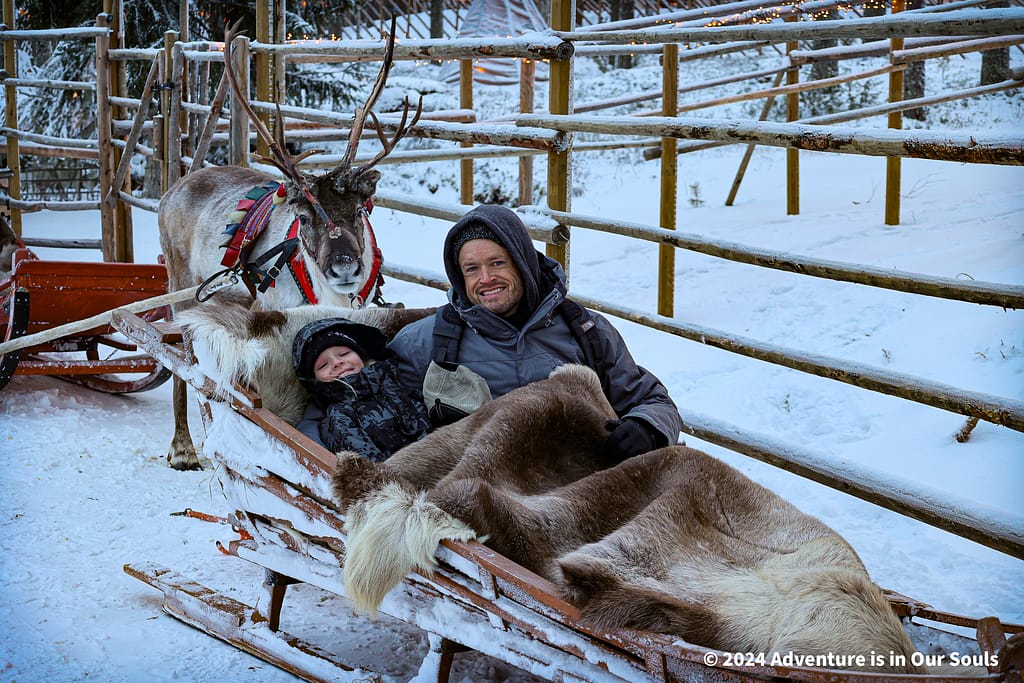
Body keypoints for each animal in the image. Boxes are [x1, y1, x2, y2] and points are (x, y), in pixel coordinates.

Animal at [157, 20, 422, 470]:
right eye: (304, 217)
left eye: (359, 211)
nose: (345, 267)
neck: (329, 296)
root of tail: (176, 185)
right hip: (181, 285)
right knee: (183, 364)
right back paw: (182, 447)